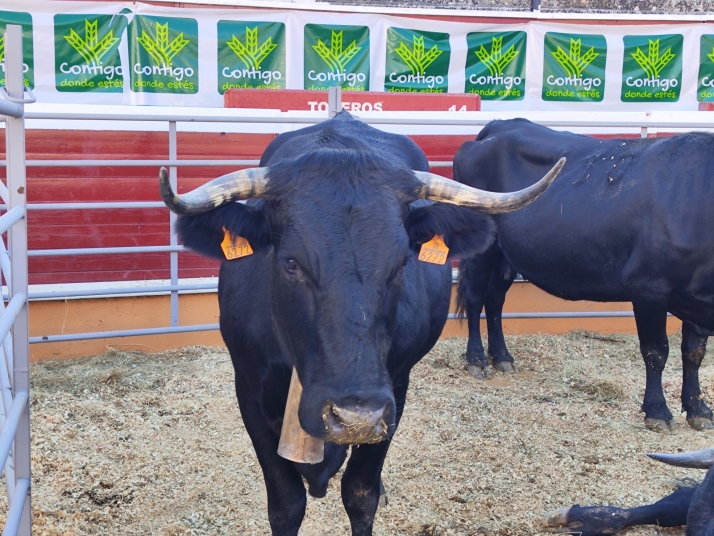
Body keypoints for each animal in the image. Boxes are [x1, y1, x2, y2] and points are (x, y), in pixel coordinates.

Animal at [159, 111, 560, 532]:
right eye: (291, 262)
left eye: (401, 264)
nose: (356, 417)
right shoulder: (249, 390)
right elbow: (286, 503)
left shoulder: (394, 393)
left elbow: (360, 494)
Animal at [454, 117, 712, 432]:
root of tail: (501, 124)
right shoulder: (647, 287)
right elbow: (656, 351)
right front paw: (657, 411)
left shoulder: (697, 296)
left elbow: (694, 352)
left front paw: (698, 408)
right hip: (481, 248)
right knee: (475, 297)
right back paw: (477, 360)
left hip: (506, 255)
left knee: (494, 300)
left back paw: (502, 357)